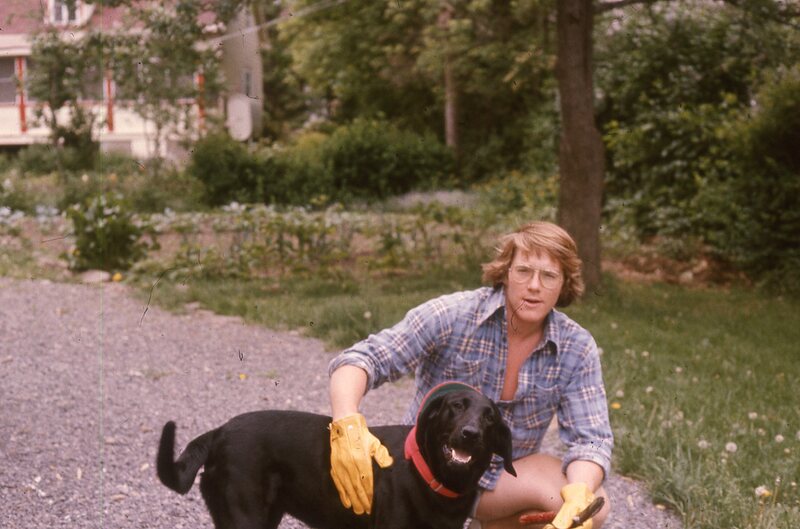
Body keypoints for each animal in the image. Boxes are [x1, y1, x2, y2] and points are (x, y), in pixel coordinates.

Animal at [157, 382, 516, 529]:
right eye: (456, 406)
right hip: (243, 516)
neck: (431, 477)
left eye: (490, 418)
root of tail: (219, 431)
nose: (470, 434)